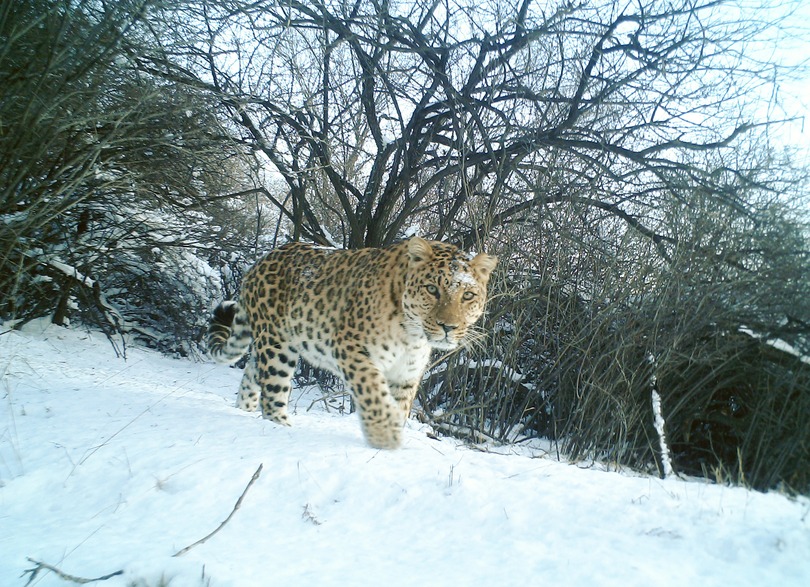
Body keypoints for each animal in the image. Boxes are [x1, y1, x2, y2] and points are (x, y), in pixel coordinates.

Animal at [205, 238, 496, 450]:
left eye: (468, 295)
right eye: (432, 289)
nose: (448, 327)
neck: (412, 335)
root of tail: (259, 263)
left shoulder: (406, 373)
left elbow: (400, 405)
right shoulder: (352, 349)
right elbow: (374, 393)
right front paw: (385, 437)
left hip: (270, 344)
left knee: (251, 375)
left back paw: (244, 412)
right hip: (277, 345)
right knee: (273, 392)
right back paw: (282, 428)